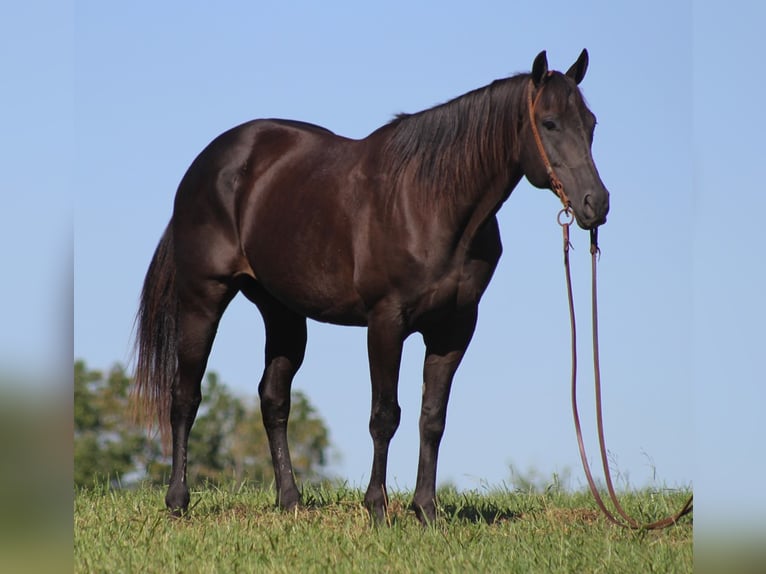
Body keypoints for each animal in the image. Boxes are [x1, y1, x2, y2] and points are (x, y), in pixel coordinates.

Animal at [135, 50, 608, 528]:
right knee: (186, 395)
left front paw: (426, 510)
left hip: (282, 311)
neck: (431, 203)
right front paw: (378, 508)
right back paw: (177, 500)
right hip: (203, 298)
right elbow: (385, 415)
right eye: (549, 122)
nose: (596, 204)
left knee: (273, 399)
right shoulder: (385, 322)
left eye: (591, 123)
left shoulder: (454, 328)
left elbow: (432, 417)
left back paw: (290, 500)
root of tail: (209, 162)